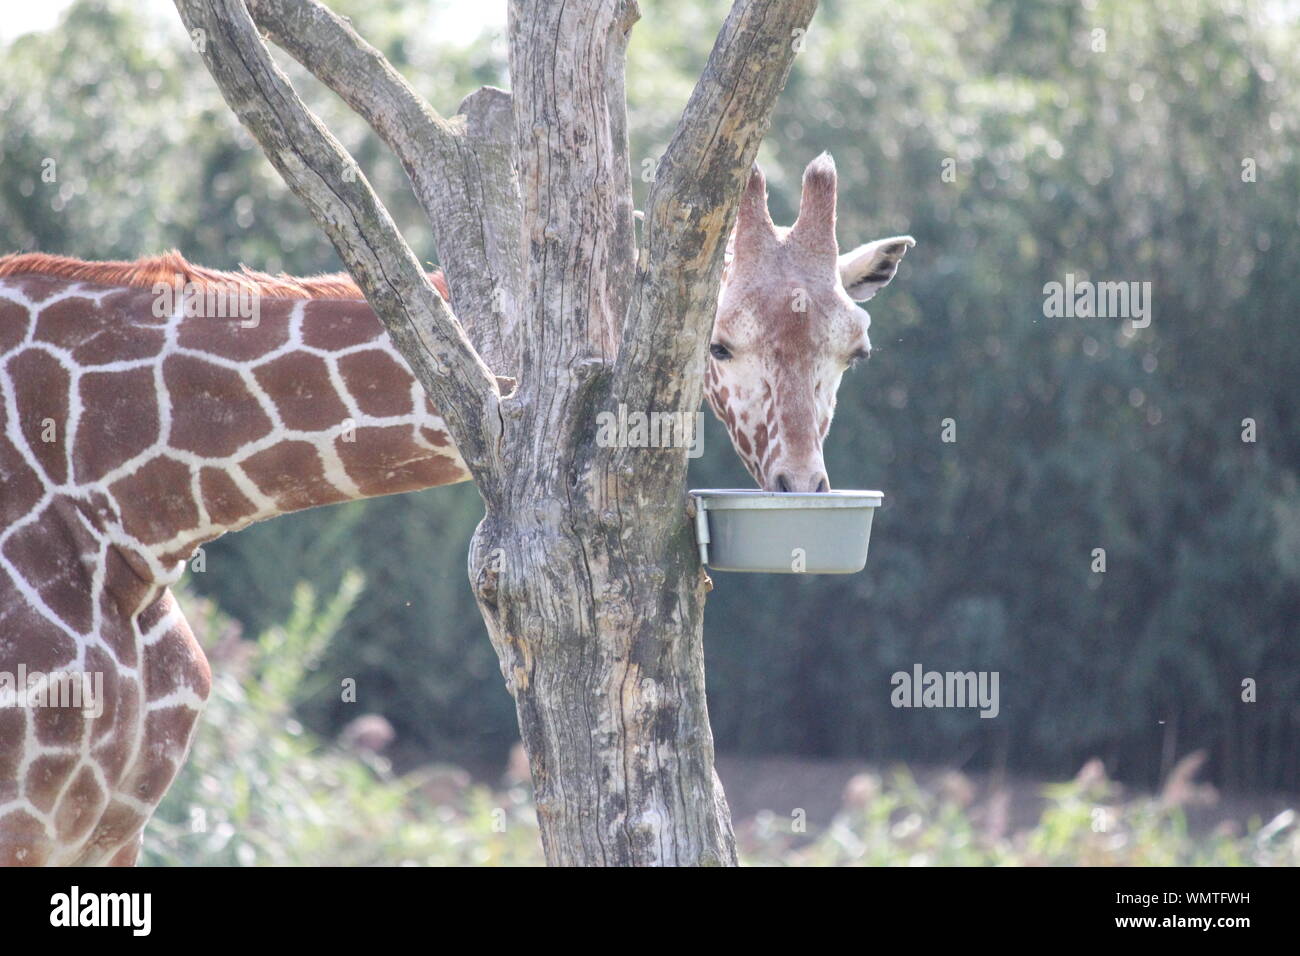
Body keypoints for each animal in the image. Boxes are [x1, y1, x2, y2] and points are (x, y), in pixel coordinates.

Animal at [2, 151, 915, 868]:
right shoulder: (29, 818)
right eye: (719, 343)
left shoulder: (112, 828)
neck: (124, 505)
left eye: (858, 349)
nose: (799, 485)